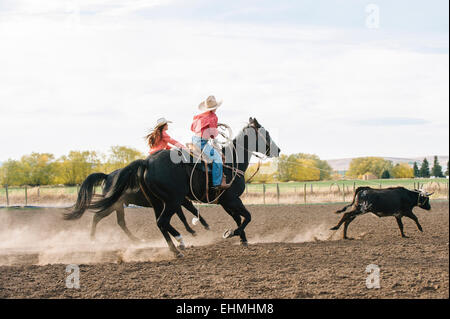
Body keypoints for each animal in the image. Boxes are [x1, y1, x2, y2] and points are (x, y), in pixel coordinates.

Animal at [64, 168, 210, 248]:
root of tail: (107, 176)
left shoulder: (175, 201)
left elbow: (183, 215)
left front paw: (191, 230)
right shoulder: (178, 200)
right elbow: (190, 210)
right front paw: (200, 227)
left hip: (118, 206)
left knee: (120, 222)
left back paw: (136, 240)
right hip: (112, 205)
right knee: (97, 217)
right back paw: (93, 239)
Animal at [86, 117, 280, 258]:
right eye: (266, 133)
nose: (278, 150)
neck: (231, 162)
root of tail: (146, 162)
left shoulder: (225, 201)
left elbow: (238, 218)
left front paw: (243, 239)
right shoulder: (231, 199)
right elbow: (247, 216)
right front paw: (231, 233)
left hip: (157, 202)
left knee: (156, 223)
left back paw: (175, 245)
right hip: (168, 200)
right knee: (157, 221)